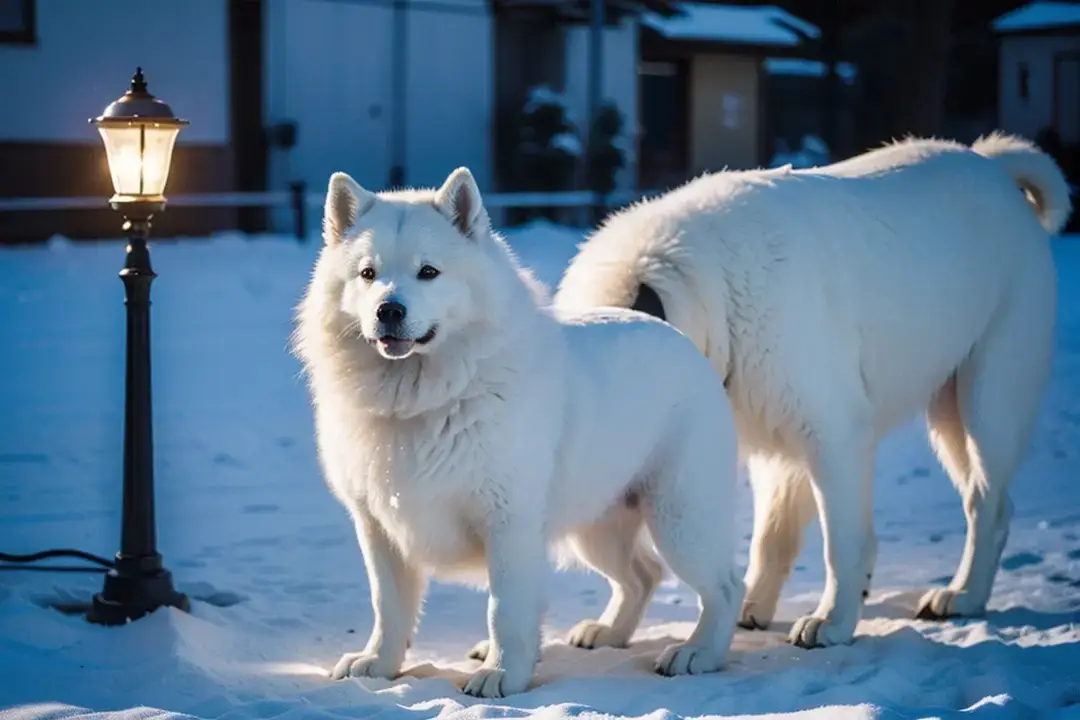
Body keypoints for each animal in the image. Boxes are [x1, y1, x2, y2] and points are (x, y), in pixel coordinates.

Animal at [557, 132, 1071, 651]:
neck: (711, 298)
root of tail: (990, 166)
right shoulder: (773, 434)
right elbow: (772, 535)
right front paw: (749, 608)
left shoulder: (835, 434)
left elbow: (841, 542)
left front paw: (832, 621)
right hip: (946, 409)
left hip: (988, 394)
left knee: (988, 501)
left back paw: (963, 594)